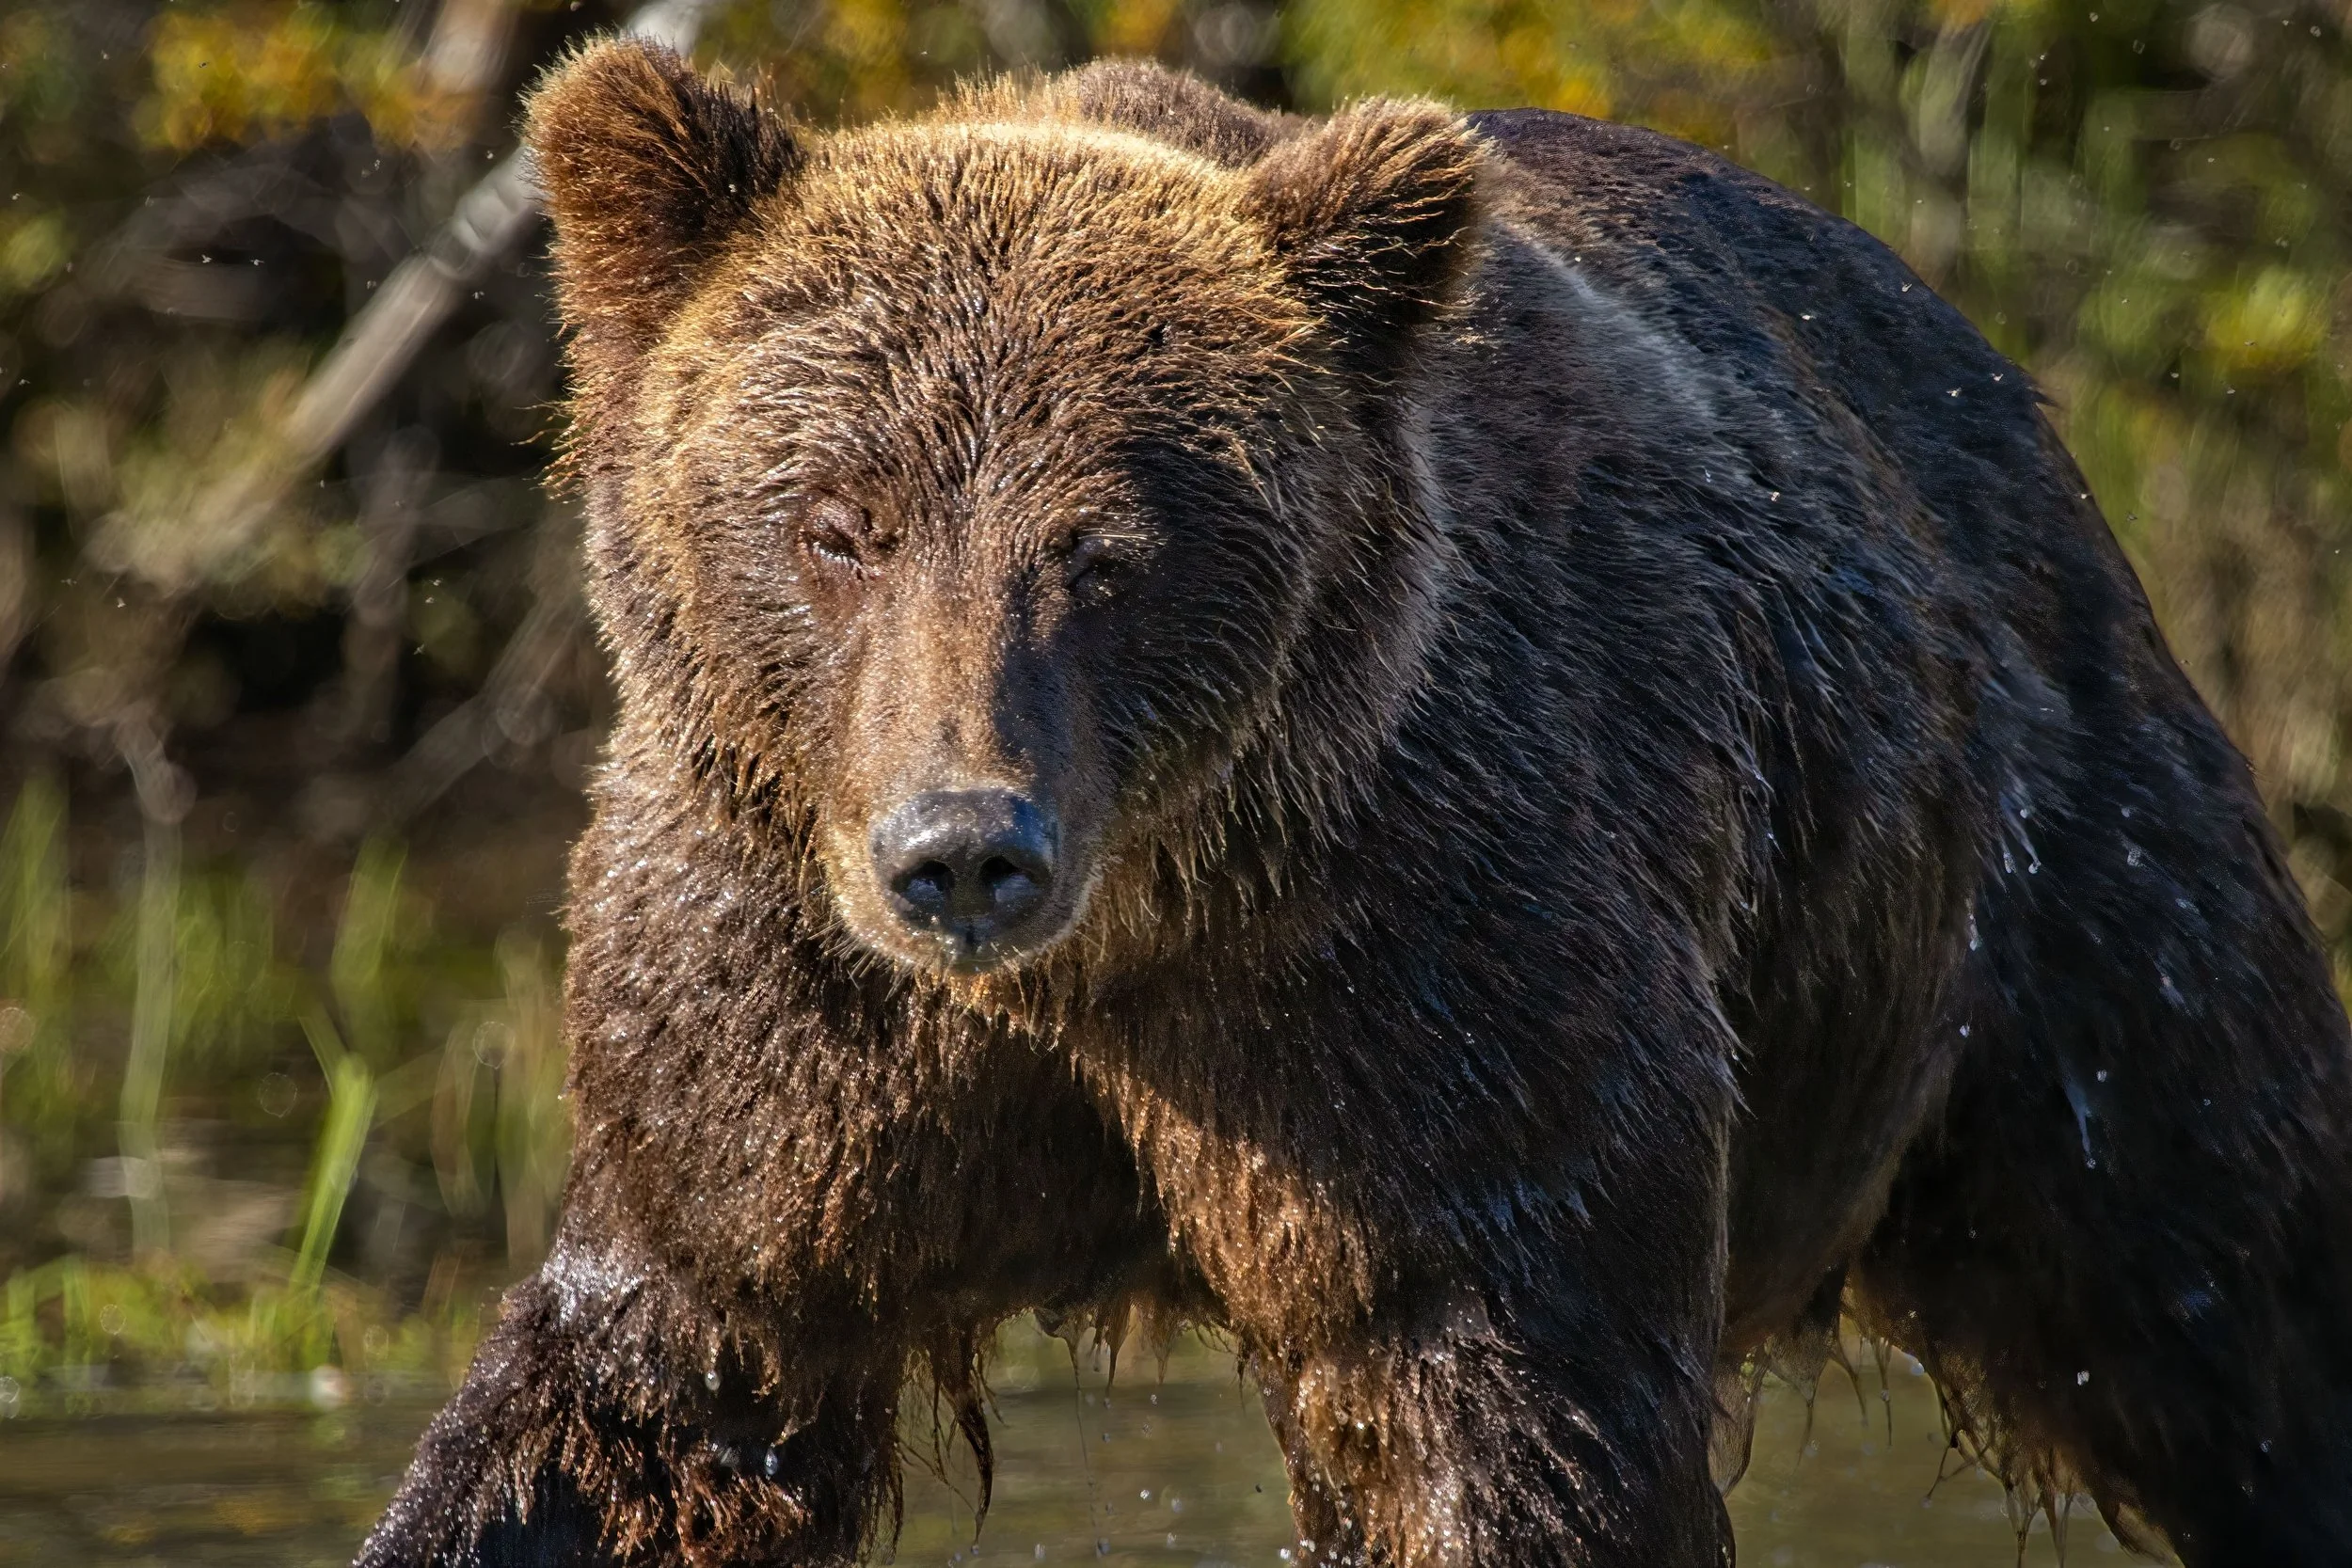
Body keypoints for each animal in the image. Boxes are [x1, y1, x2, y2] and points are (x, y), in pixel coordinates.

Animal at [357, 41, 2352, 1568]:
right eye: (838, 522)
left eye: (1109, 549)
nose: (964, 852)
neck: (1112, 958)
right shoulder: (773, 1014)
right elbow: (656, 1393)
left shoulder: (1419, 979)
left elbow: (1498, 1405)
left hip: (2053, 907)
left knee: (2227, 1268)